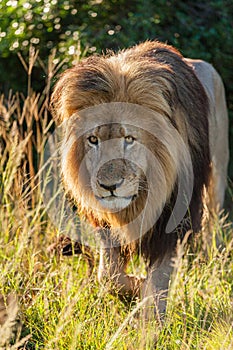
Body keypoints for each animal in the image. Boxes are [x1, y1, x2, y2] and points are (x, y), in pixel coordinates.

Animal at [50, 40, 228, 314]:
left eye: (129, 138)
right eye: (93, 140)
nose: (109, 186)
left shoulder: (173, 218)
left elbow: (159, 280)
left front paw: (152, 317)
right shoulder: (106, 222)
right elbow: (109, 276)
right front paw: (135, 289)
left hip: (218, 174)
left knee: (213, 226)